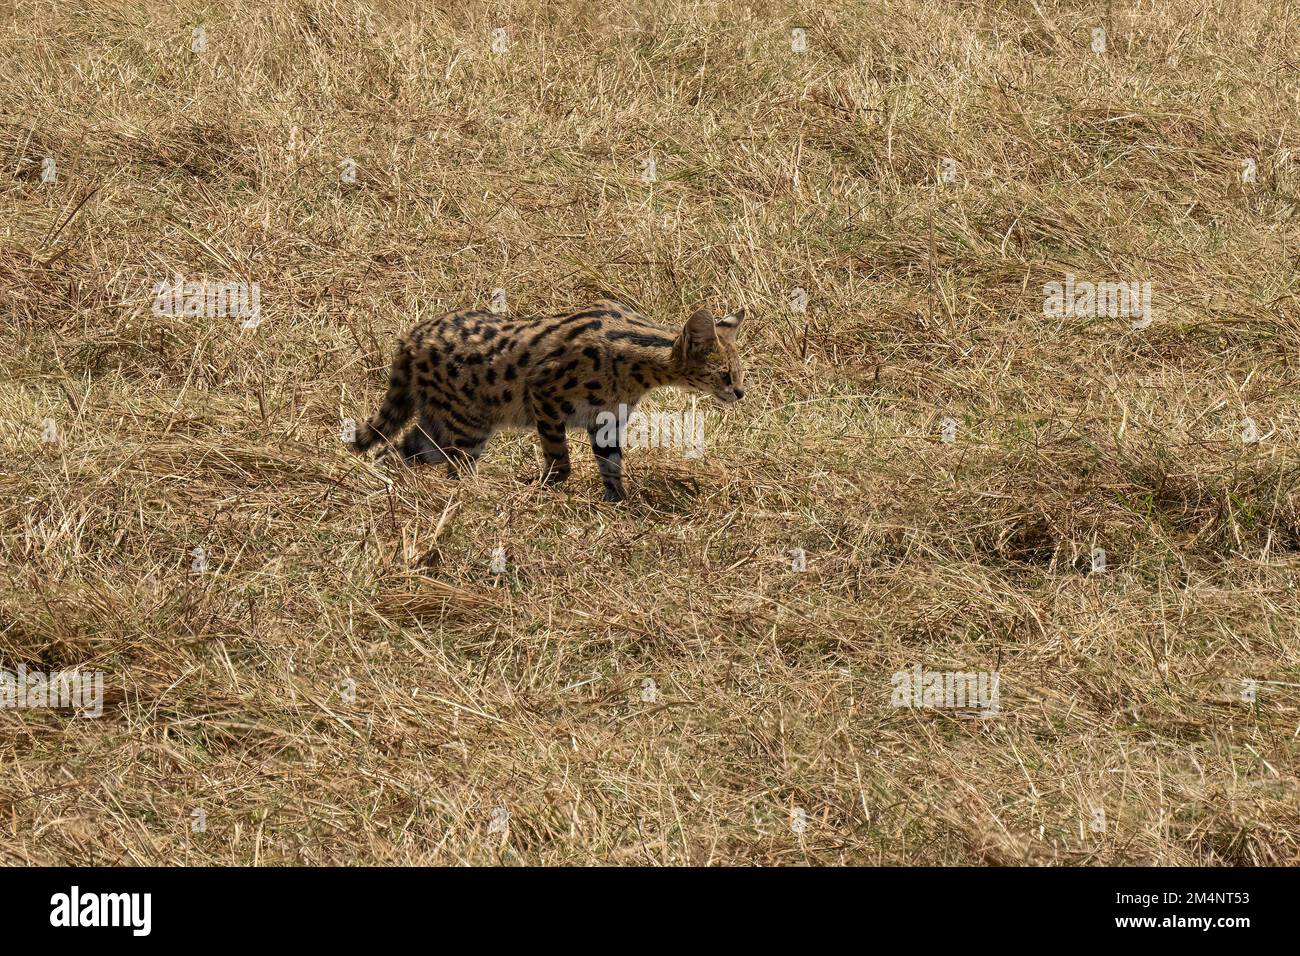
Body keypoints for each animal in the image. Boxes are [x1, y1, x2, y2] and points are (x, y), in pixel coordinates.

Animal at [353, 300, 754, 504]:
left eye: (739, 372)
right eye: (724, 375)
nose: (740, 393)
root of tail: (410, 339)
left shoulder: (606, 420)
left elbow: (611, 465)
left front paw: (618, 504)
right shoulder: (543, 394)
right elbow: (561, 460)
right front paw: (539, 487)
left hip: (442, 429)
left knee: (390, 452)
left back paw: (388, 486)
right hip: (467, 430)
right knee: (453, 471)